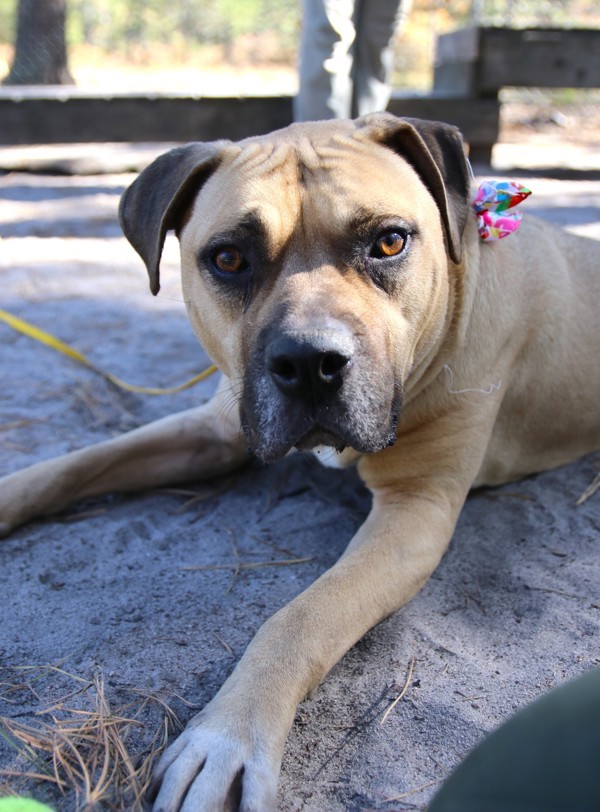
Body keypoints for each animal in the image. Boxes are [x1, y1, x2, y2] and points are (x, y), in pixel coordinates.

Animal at [1, 116, 600, 812]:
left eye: (389, 242)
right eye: (228, 259)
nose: (311, 361)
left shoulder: (413, 515)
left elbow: (301, 616)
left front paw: (229, 735)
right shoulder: (213, 429)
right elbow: (67, 466)